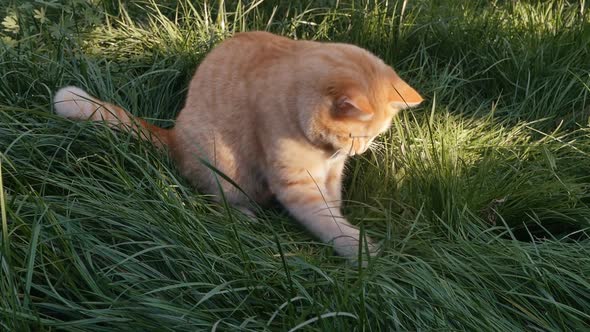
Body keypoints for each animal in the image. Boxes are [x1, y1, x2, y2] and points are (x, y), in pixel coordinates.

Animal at [53, 31, 424, 260]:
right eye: (355, 136)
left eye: (374, 137)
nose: (358, 152)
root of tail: (173, 134)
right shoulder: (296, 183)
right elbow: (324, 219)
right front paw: (359, 250)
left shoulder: (331, 173)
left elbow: (331, 206)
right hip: (223, 165)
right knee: (218, 200)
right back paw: (244, 216)